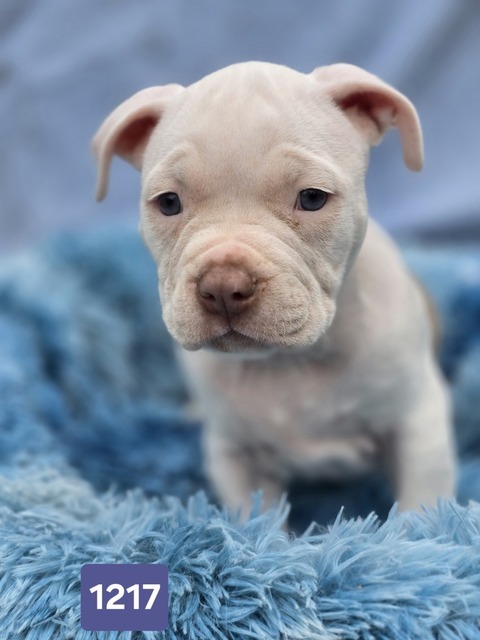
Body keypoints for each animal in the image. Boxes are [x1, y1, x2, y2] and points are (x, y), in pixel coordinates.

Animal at [94, 60, 458, 520]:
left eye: (313, 198)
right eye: (169, 203)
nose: (223, 286)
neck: (289, 362)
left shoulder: (418, 425)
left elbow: (420, 509)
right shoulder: (234, 454)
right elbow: (254, 523)